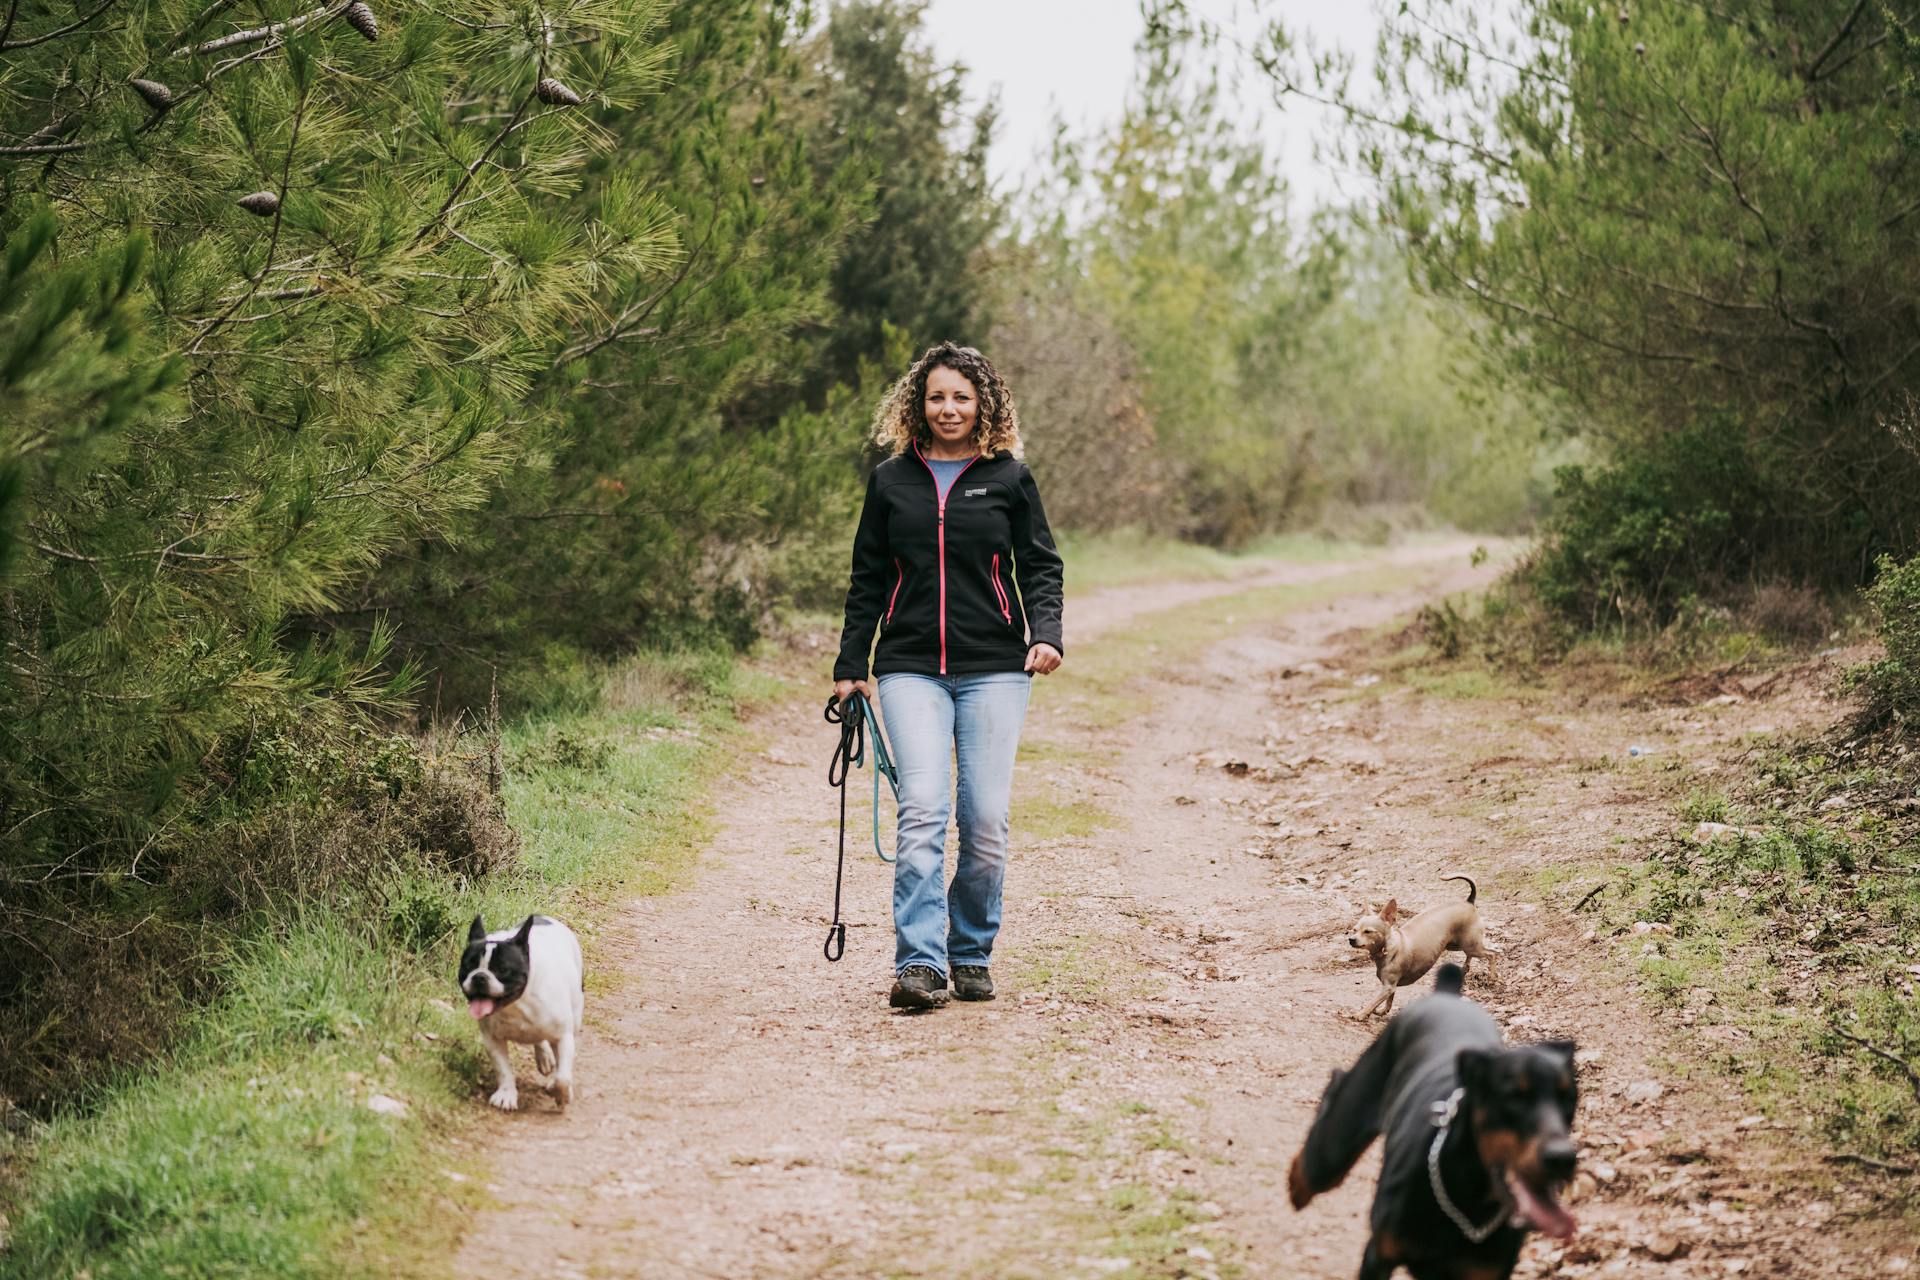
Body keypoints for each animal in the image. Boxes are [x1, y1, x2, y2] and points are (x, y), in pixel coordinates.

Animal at [1290, 967, 1574, 1274]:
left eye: (1570, 1098)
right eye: (1512, 1097)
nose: (1562, 1157)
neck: (1472, 1196)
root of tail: (1446, 996)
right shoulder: (1379, 1254)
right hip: (1343, 1132)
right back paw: (1297, 1187)